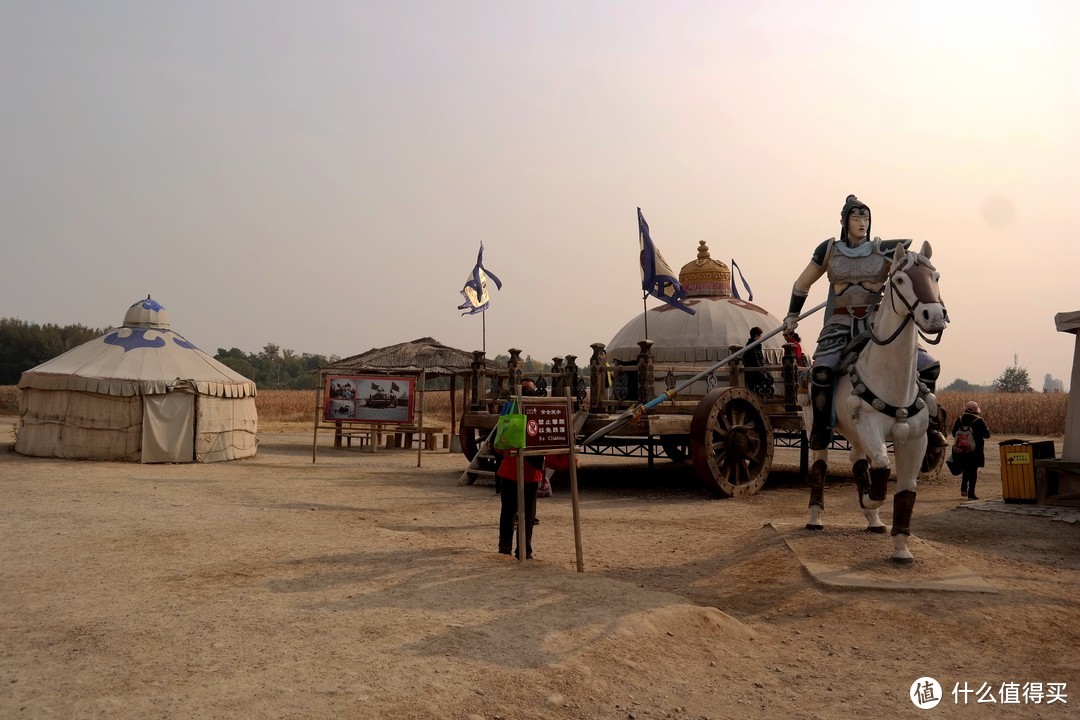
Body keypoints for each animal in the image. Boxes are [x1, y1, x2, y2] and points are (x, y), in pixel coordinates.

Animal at [803, 241, 946, 561]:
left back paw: (874, 522)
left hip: (854, 434)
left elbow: (906, 490)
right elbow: (881, 465)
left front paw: (902, 548)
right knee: (820, 465)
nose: (934, 316)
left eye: (936, 277)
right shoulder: (869, 426)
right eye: (901, 280)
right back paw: (815, 518)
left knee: (857, 462)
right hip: (816, 423)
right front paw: (870, 499)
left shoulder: (916, 439)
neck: (892, 383)